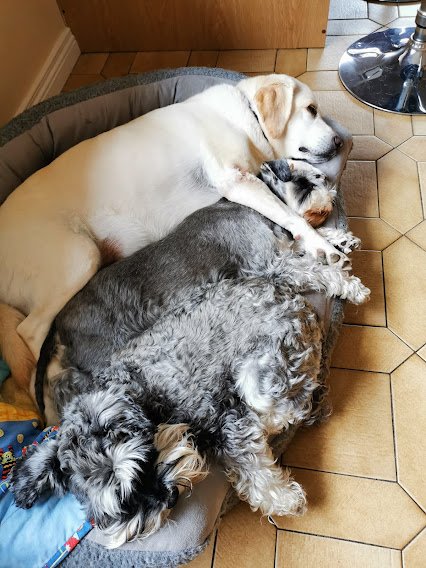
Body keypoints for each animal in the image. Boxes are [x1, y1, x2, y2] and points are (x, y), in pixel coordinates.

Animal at [0, 74, 346, 364]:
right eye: (311, 109)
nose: (340, 142)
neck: (247, 116)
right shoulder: (236, 181)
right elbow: (290, 216)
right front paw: (323, 245)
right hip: (79, 257)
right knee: (30, 335)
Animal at [10, 160, 370, 544]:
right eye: (306, 182)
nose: (331, 190)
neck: (251, 206)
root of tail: (61, 324)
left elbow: (306, 244)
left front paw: (337, 240)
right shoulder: (272, 263)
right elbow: (315, 266)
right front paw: (349, 283)